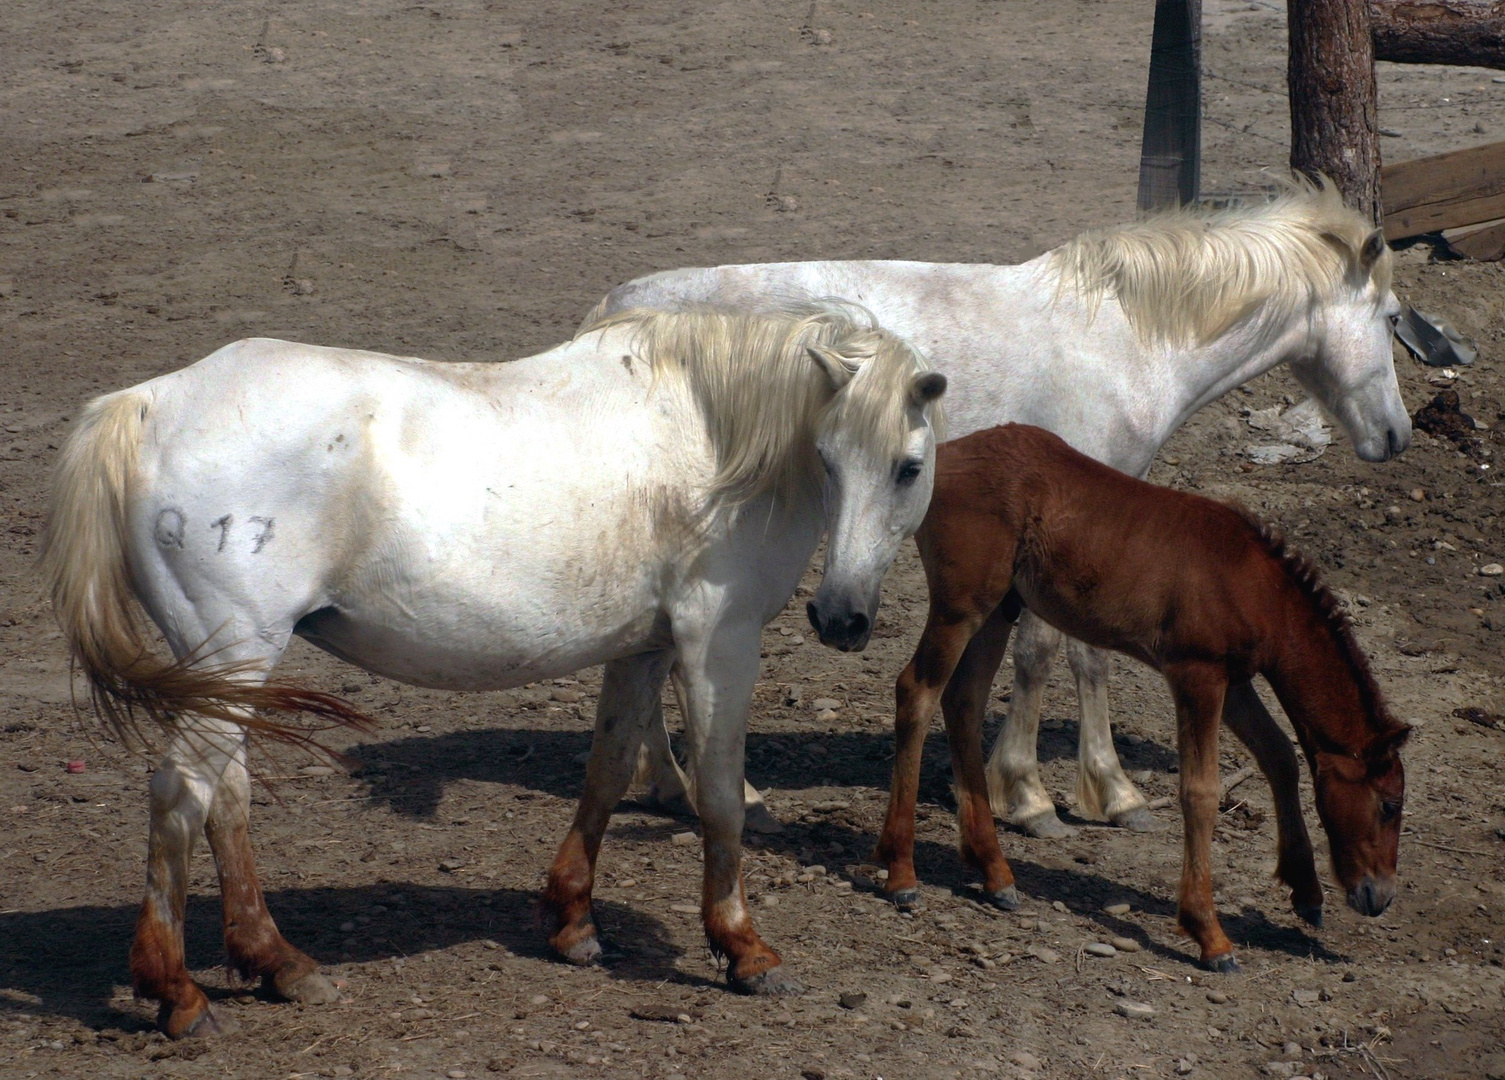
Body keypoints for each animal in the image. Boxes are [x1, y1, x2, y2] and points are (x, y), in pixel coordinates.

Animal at [44, 306, 939, 1040]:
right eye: (832, 457)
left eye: (906, 466)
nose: (842, 619)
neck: (712, 433)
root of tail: (149, 402)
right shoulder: (718, 642)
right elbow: (718, 795)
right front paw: (743, 948)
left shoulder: (642, 648)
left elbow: (608, 769)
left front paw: (572, 921)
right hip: (237, 651)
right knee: (180, 798)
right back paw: (177, 992)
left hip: (229, 676)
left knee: (222, 798)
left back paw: (278, 963)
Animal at [589, 184, 1408, 848]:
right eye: (1393, 317)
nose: (1395, 436)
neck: (1121, 338)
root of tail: (615, 312)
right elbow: (1042, 652)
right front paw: (1031, 795)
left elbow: (1085, 654)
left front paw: (1109, 792)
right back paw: (735, 795)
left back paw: (665, 784)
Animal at [878, 424, 1408, 974]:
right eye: (1390, 805)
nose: (1381, 896)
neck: (1257, 587)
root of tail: (942, 458)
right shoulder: (1197, 675)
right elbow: (1200, 792)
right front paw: (1209, 934)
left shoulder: (1234, 681)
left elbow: (1280, 756)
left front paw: (1306, 892)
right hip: (960, 607)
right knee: (917, 692)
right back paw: (901, 874)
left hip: (999, 609)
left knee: (963, 701)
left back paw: (995, 873)